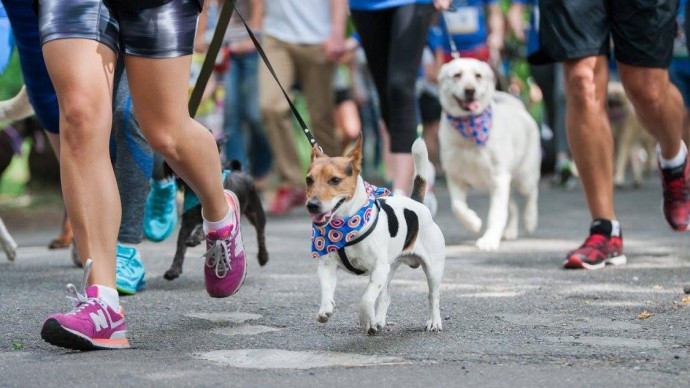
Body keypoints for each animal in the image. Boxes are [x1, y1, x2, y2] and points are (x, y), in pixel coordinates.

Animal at [306, 136, 444, 334]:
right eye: (309, 180)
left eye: (335, 180)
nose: (312, 205)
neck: (344, 228)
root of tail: (417, 203)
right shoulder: (327, 267)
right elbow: (327, 290)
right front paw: (326, 309)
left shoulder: (378, 269)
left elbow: (365, 301)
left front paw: (365, 320)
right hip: (390, 267)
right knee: (385, 297)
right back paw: (378, 321)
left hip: (433, 270)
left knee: (433, 296)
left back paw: (434, 321)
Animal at [438, 58, 540, 252]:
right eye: (457, 75)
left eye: (478, 75)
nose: (470, 90)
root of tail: (518, 107)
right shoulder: (455, 175)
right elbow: (457, 207)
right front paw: (473, 222)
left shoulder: (499, 177)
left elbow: (496, 214)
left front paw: (490, 240)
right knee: (513, 206)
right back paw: (510, 231)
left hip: (523, 177)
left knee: (531, 193)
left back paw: (530, 220)